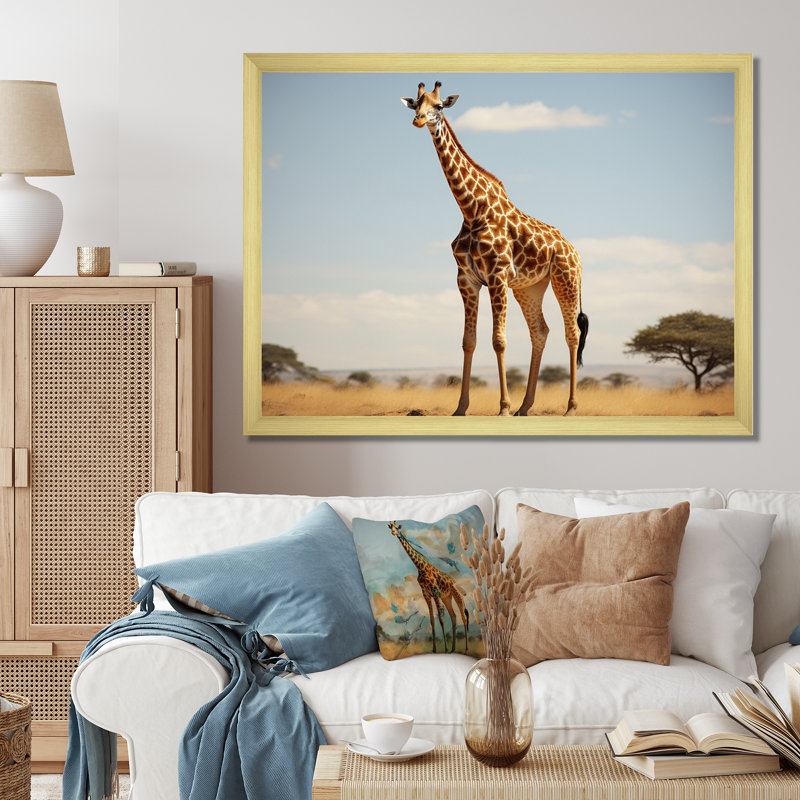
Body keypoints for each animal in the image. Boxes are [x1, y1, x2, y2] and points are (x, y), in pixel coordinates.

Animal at [388, 521, 470, 654]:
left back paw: (466, 648)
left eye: (397, 527)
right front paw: (434, 649)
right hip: (446, 597)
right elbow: (432, 620)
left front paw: (445, 648)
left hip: (457, 595)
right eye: (391, 527)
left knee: (463, 616)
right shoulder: (426, 594)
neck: (420, 567)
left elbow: (441, 620)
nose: (393, 533)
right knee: (453, 616)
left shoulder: (435, 592)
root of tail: (454, 581)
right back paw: (453, 648)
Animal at [401, 82, 589, 417]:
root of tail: (576, 253)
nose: (419, 121)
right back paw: (525, 407)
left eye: (440, 106)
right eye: (416, 104)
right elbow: (469, 341)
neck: (471, 210)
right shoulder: (466, 279)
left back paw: (570, 407)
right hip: (529, 287)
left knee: (572, 334)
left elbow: (498, 340)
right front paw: (461, 408)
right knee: (540, 332)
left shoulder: (497, 275)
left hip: (565, 279)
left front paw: (502, 407)